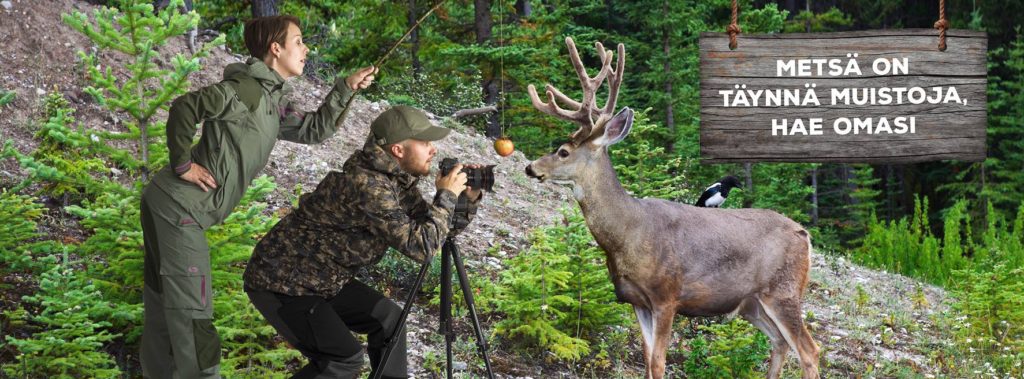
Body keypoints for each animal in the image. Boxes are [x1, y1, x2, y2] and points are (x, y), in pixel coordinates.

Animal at [524, 37, 819, 379]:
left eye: (563, 151)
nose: (531, 167)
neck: (628, 233)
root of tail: (805, 235)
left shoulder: (667, 296)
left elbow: (658, 361)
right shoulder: (637, 301)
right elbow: (647, 358)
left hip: (783, 290)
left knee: (809, 350)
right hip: (753, 303)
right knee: (780, 343)